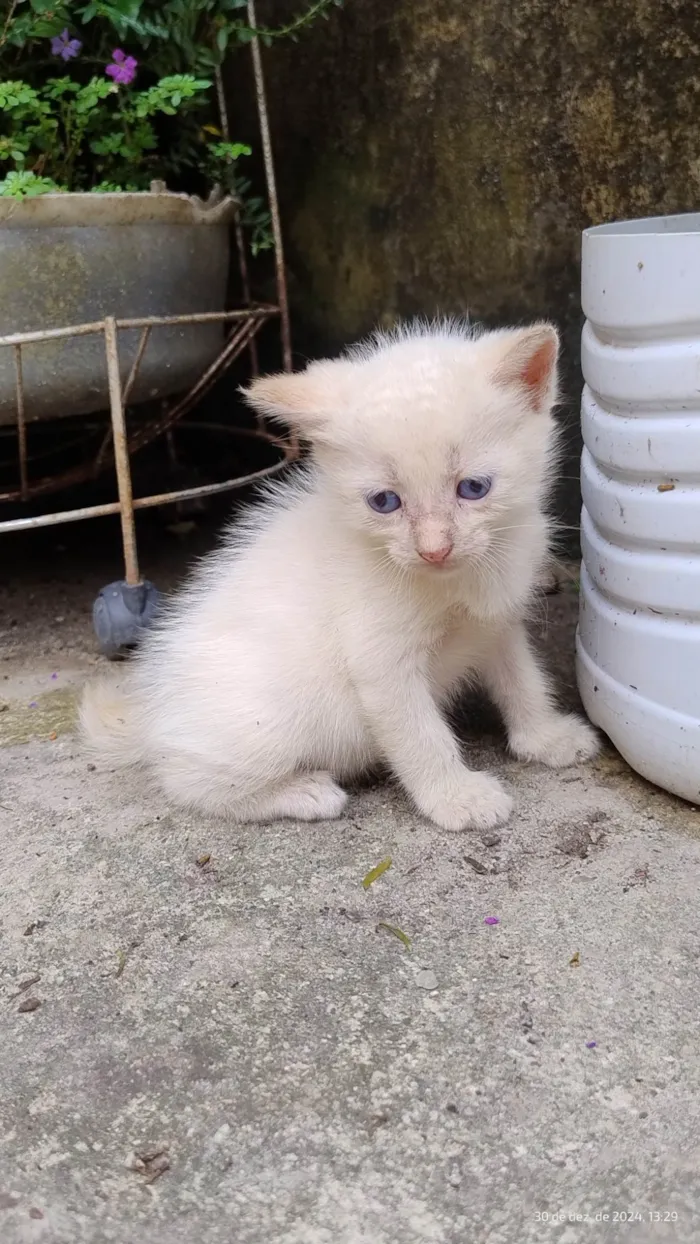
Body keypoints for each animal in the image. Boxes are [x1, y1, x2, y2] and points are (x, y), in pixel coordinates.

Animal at [80, 320, 596, 830]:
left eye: (474, 488)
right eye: (384, 501)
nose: (433, 550)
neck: (460, 579)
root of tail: (154, 716)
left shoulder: (497, 622)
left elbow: (523, 678)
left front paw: (546, 736)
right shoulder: (379, 660)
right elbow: (419, 734)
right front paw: (455, 797)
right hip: (262, 725)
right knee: (188, 780)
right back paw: (303, 792)